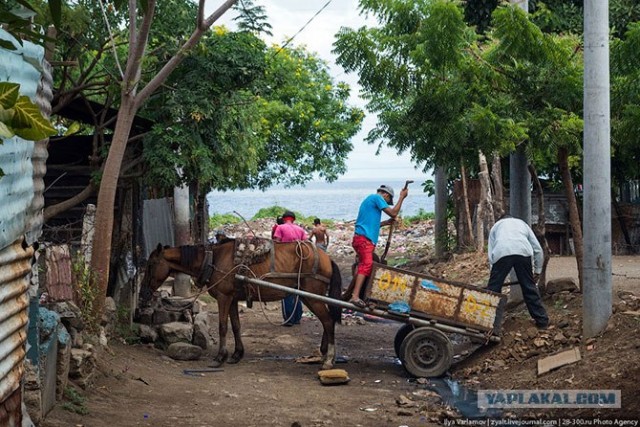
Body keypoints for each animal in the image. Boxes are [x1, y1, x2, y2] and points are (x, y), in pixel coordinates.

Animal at [138, 241, 342, 372]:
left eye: (151, 264)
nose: (142, 294)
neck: (213, 259)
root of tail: (326, 257)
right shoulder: (233, 299)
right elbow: (236, 326)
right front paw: (237, 354)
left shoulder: (223, 298)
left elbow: (222, 326)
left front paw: (220, 357)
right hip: (311, 297)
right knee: (327, 322)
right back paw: (324, 354)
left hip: (312, 297)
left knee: (328, 321)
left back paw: (329, 360)